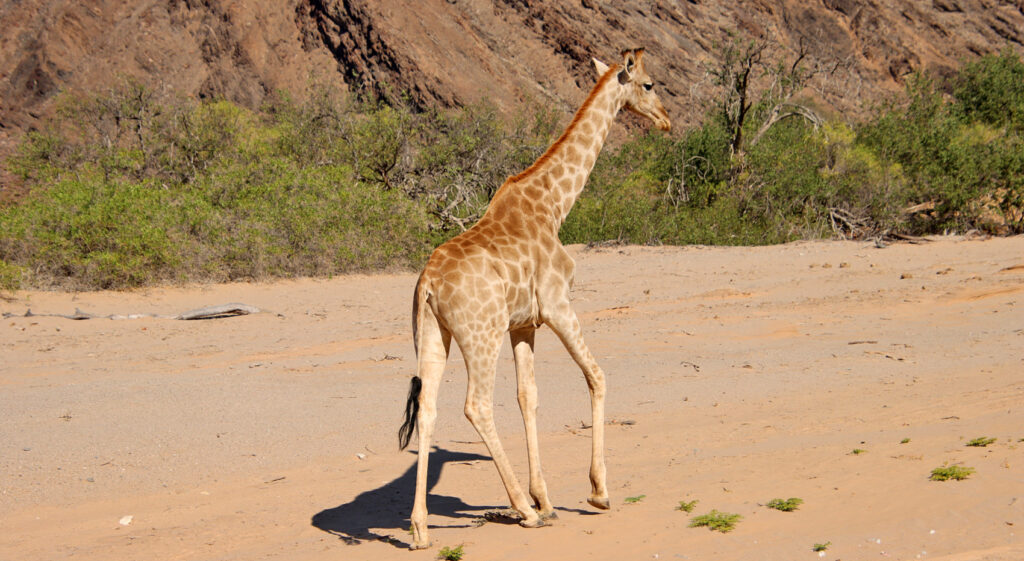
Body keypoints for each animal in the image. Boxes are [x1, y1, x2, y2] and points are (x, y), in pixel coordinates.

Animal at [397, 48, 671, 550]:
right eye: (648, 84)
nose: (665, 120)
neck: (554, 206)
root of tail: (427, 283)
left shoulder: (523, 323)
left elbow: (529, 396)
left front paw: (544, 496)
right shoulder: (558, 306)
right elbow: (597, 376)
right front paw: (596, 492)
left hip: (434, 334)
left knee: (427, 409)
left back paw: (421, 528)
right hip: (479, 336)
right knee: (476, 405)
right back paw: (522, 511)